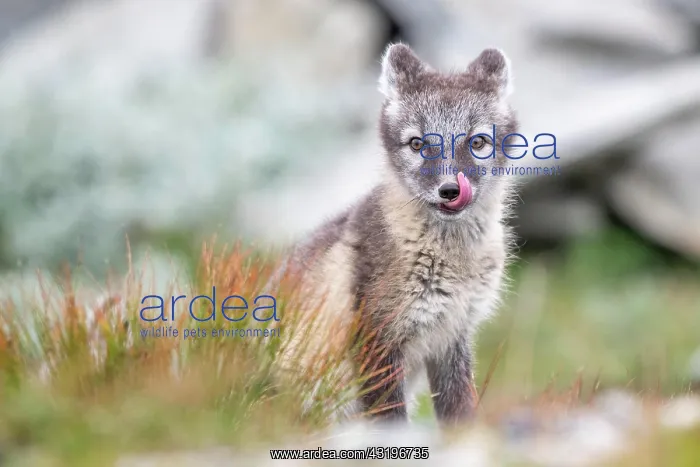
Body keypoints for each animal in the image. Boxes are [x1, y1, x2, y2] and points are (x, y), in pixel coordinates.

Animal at [278, 43, 519, 426]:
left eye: (478, 142)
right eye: (417, 144)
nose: (450, 190)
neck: (451, 259)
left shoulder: (452, 337)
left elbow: (460, 412)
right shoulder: (377, 340)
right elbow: (390, 420)